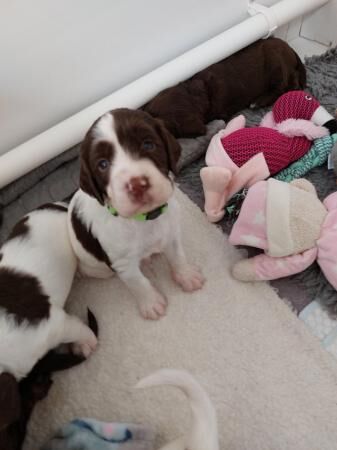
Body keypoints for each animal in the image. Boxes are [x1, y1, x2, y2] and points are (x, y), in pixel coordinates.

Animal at [68, 108, 203, 320]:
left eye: (148, 144)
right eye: (103, 164)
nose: (137, 185)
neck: (144, 218)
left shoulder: (172, 235)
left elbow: (178, 257)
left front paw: (187, 275)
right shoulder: (123, 264)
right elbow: (138, 283)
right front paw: (152, 304)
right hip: (97, 267)